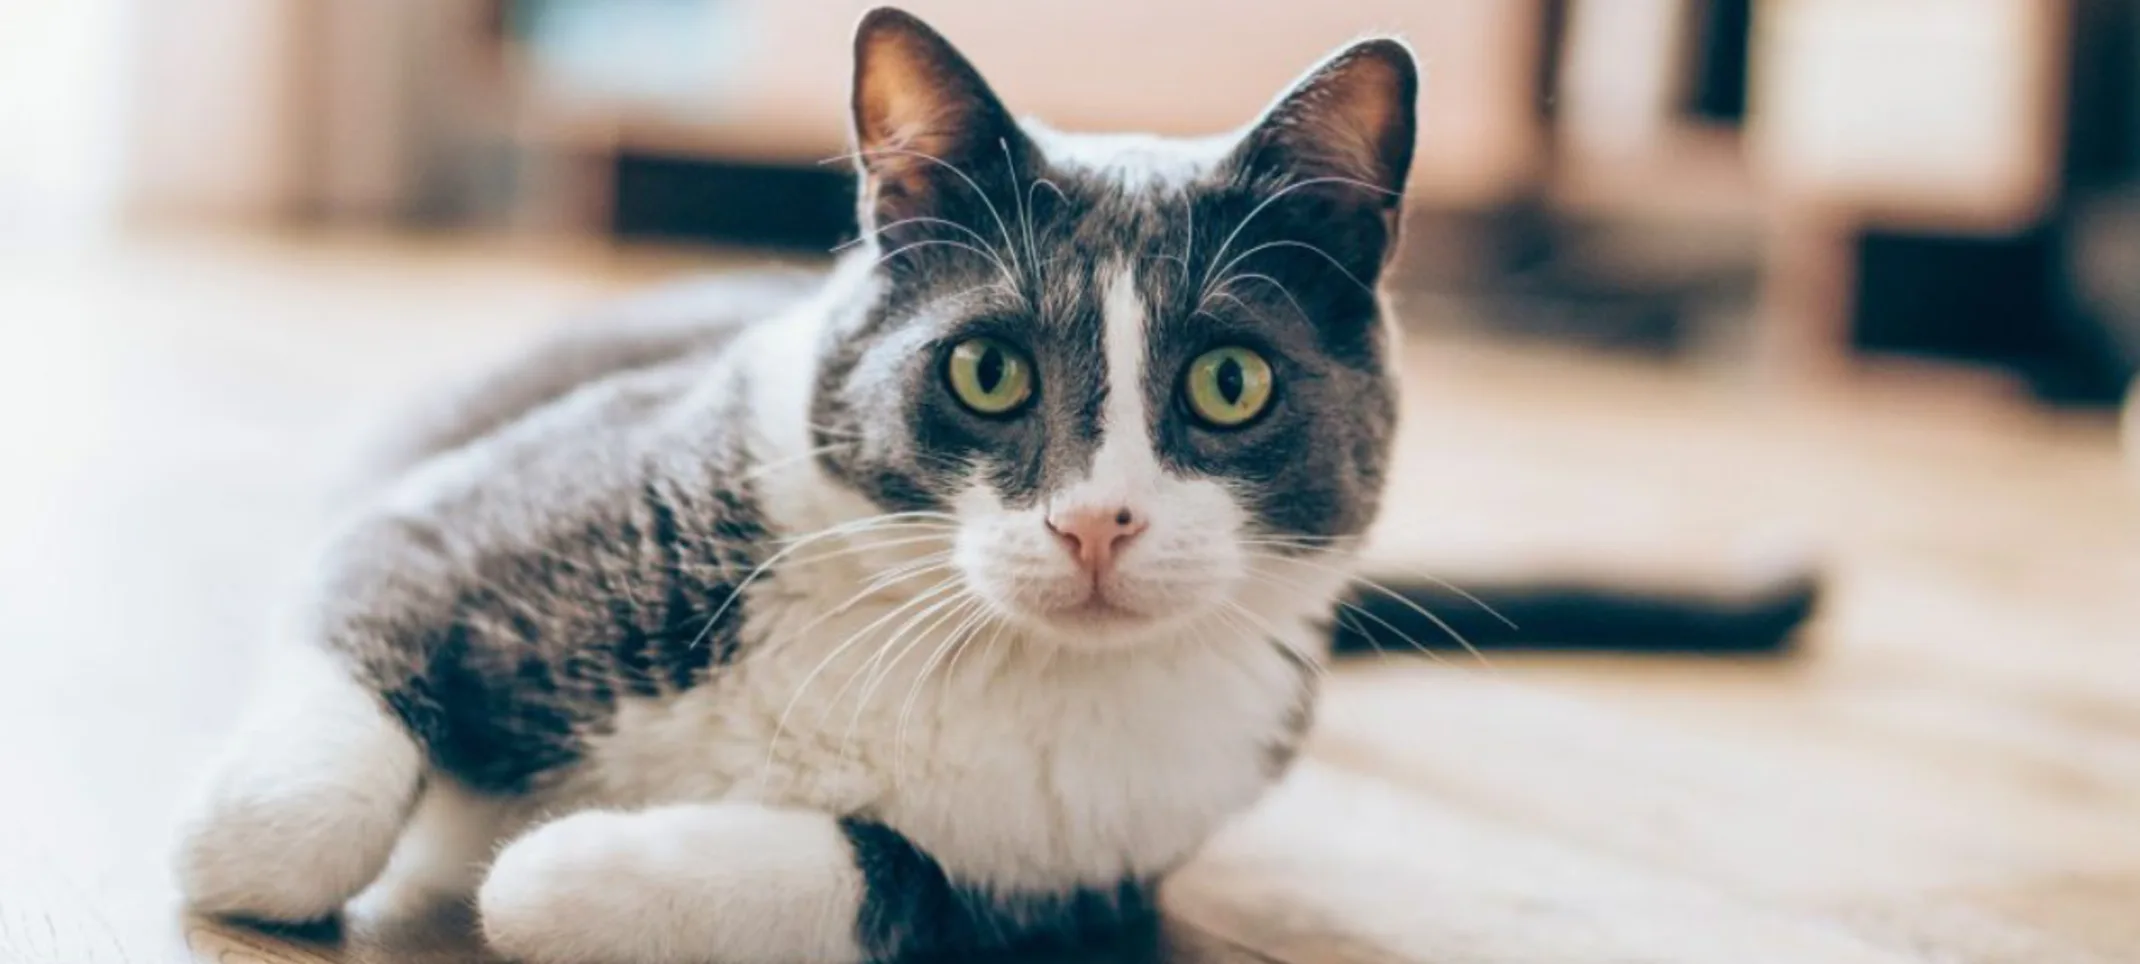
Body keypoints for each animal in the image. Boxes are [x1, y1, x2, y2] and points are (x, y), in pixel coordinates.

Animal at [166, 9, 1814, 964]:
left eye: (1229, 384)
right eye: (987, 371)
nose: (1097, 520)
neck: (964, 646)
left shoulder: (1098, 868)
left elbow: (893, 874)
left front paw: (568, 870)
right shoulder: (457, 517)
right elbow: (306, 762)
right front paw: (247, 847)